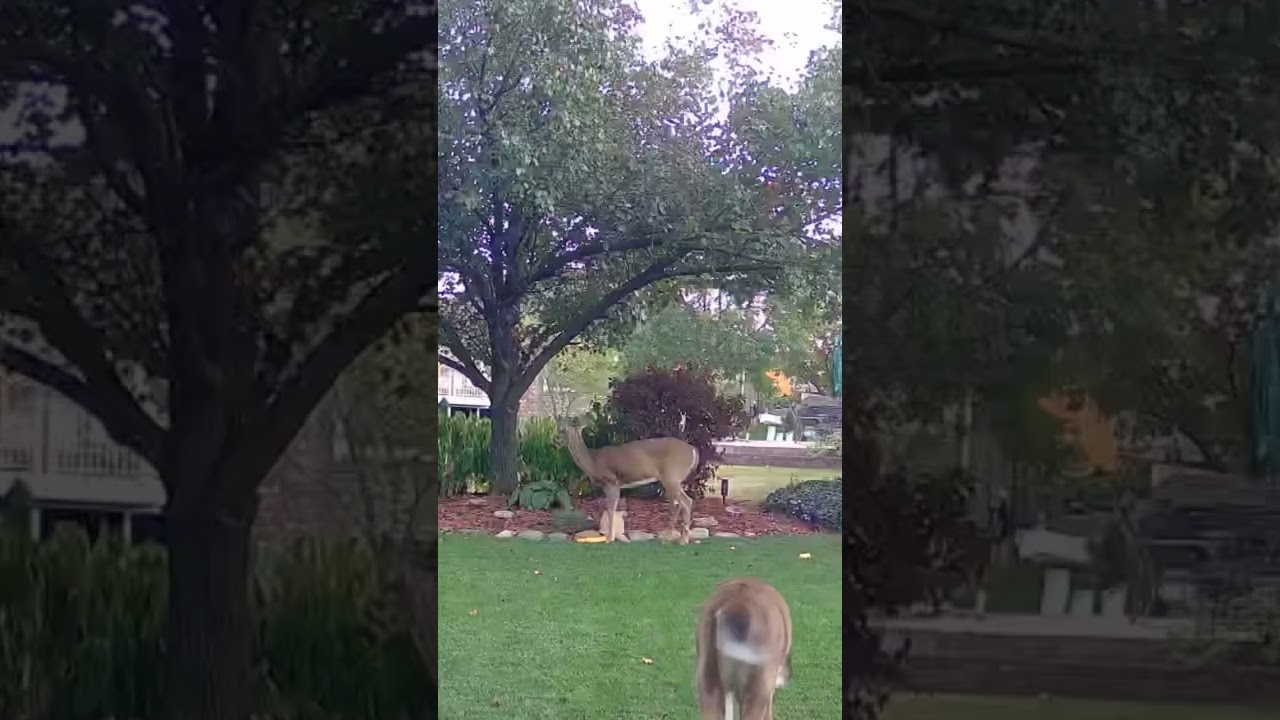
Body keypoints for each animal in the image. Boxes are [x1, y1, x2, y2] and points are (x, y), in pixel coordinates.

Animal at [559, 422, 698, 544]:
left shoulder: (612, 481)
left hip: (671, 476)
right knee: (678, 505)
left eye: (565, 430)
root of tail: (693, 450)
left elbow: (611, 508)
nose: (558, 440)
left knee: (686, 501)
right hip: (674, 480)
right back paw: (674, 538)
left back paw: (682, 541)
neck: (593, 461)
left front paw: (610, 539)